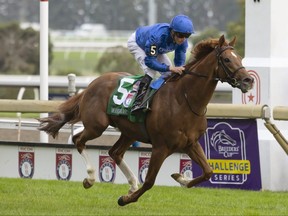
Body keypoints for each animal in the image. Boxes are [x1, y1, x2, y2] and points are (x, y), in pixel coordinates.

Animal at [38, 35, 254, 206]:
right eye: (227, 59)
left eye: (240, 58)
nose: (248, 80)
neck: (184, 99)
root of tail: (92, 84)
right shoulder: (160, 147)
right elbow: (150, 181)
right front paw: (125, 199)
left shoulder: (190, 143)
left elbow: (208, 171)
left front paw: (181, 178)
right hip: (96, 126)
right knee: (79, 140)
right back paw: (90, 178)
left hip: (129, 131)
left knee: (114, 152)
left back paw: (133, 183)